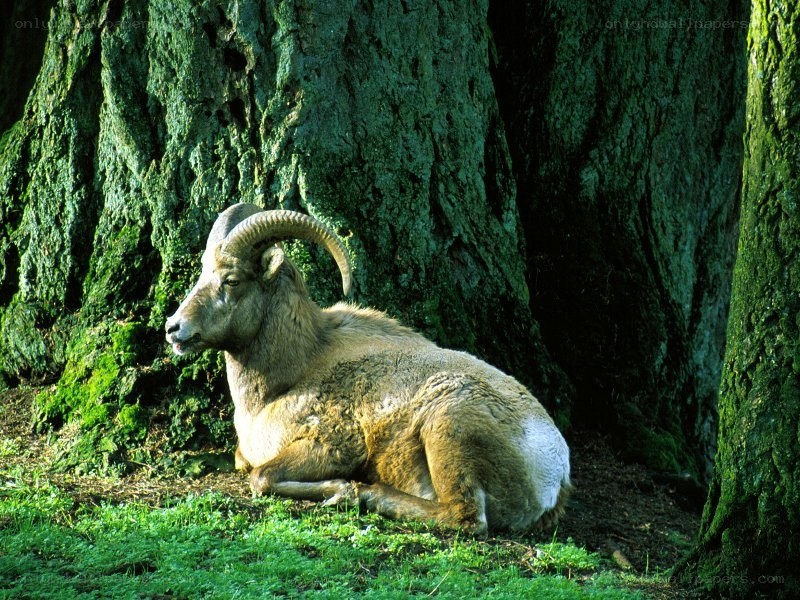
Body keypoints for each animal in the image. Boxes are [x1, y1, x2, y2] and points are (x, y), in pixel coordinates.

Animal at [165, 203, 571, 535]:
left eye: (231, 280)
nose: (173, 328)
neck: (290, 375)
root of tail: (555, 475)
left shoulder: (330, 447)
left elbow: (261, 477)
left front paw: (342, 490)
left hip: (448, 426)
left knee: (465, 518)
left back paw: (369, 495)